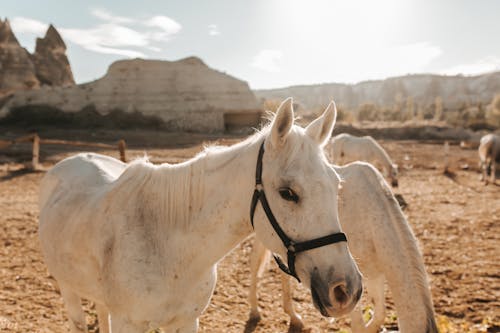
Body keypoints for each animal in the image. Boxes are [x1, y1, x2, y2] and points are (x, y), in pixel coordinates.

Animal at [37, 98, 362, 332]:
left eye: (336, 185)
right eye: (288, 193)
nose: (346, 289)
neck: (170, 247)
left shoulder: (185, 321)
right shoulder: (127, 323)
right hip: (68, 288)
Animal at [250, 161, 438, 332]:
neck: (370, 218)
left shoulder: (374, 275)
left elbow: (379, 316)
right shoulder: (350, 289)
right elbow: (359, 325)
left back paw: (294, 317)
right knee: (255, 267)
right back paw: (254, 313)